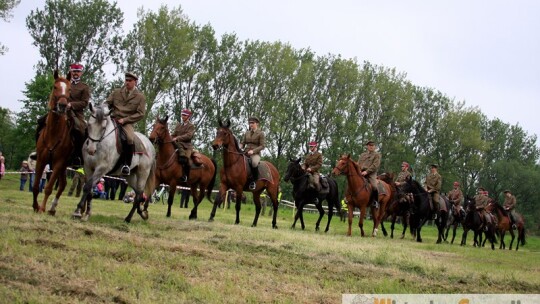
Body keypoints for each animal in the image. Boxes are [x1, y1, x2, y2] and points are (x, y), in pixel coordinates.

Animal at [31, 70, 73, 215]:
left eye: (69, 89)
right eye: (55, 87)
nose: (63, 105)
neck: (54, 132)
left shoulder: (58, 162)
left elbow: (48, 188)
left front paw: (42, 208)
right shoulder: (41, 160)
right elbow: (36, 186)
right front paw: (35, 206)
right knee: (63, 184)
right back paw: (52, 208)